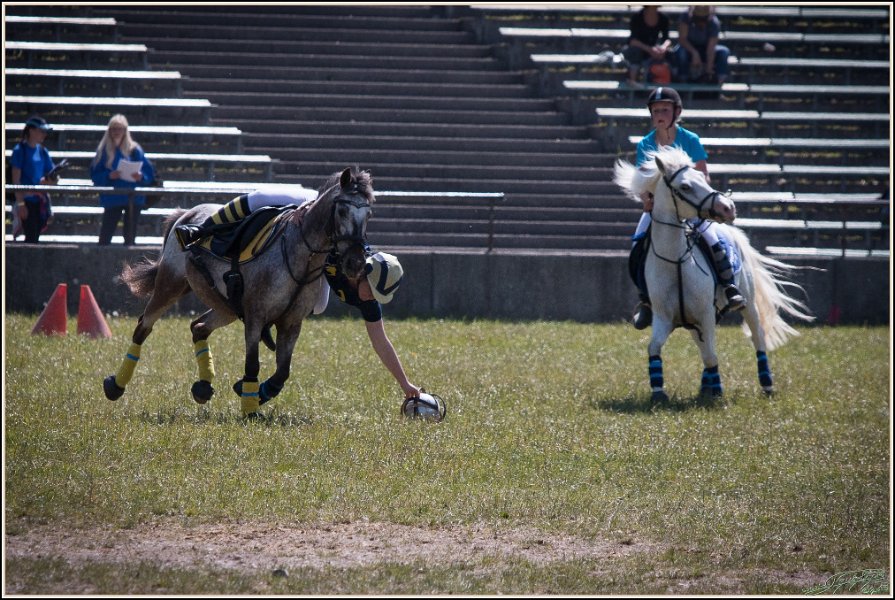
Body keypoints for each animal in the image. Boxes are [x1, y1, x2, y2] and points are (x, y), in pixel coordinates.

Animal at [103, 167, 374, 417]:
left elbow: (282, 373)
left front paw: (253, 393)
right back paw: (116, 385)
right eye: (342, 211)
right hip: (170, 285)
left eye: (369, 214)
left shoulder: (291, 323)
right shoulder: (256, 316)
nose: (355, 262)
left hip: (225, 306)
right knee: (144, 326)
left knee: (198, 327)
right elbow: (253, 363)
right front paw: (250, 408)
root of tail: (186, 214)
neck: (300, 253)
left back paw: (203, 387)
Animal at [614, 147, 814, 404]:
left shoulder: (705, 314)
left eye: (702, 178)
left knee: (756, 337)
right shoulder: (665, 317)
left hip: (747, 304)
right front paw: (658, 393)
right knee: (703, 346)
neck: (676, 260)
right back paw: (705, 387)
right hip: (694, 322)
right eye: (685, 186)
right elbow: (654, 348)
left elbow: (711, 355)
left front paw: (718, 393)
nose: (728, 207)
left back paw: (766, 385)